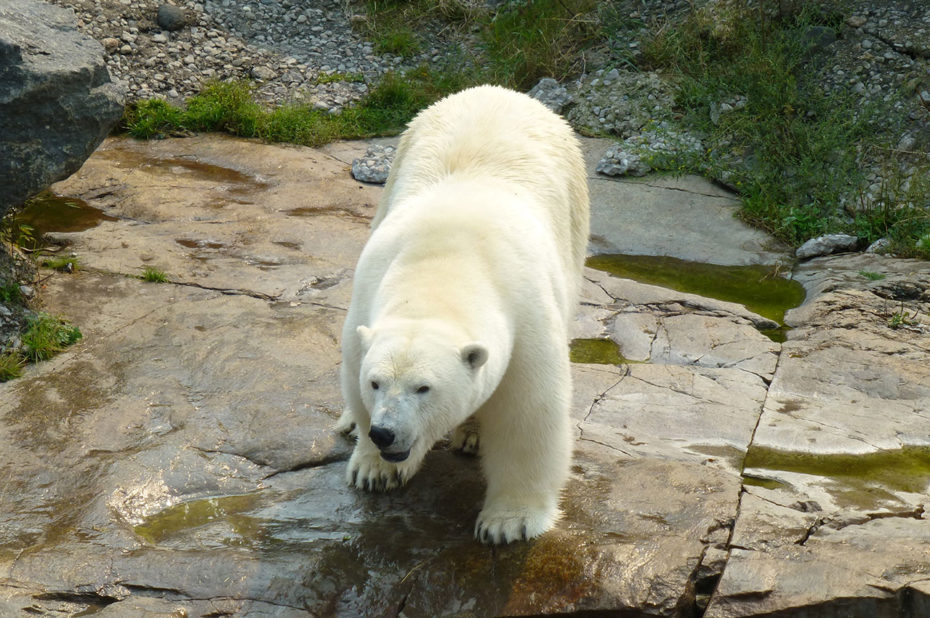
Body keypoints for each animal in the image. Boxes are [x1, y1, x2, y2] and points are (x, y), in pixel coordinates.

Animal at [338, 84, 588, 540]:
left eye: (424, 388)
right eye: (376, 382)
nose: (385, 433)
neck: (442, 267)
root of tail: (498, 90)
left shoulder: (525, 315)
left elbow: (530, 412)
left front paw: (508, 523)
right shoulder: (366, 296)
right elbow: (352, 371)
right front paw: (373, 469)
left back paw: (472, 436)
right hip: (399, 159)